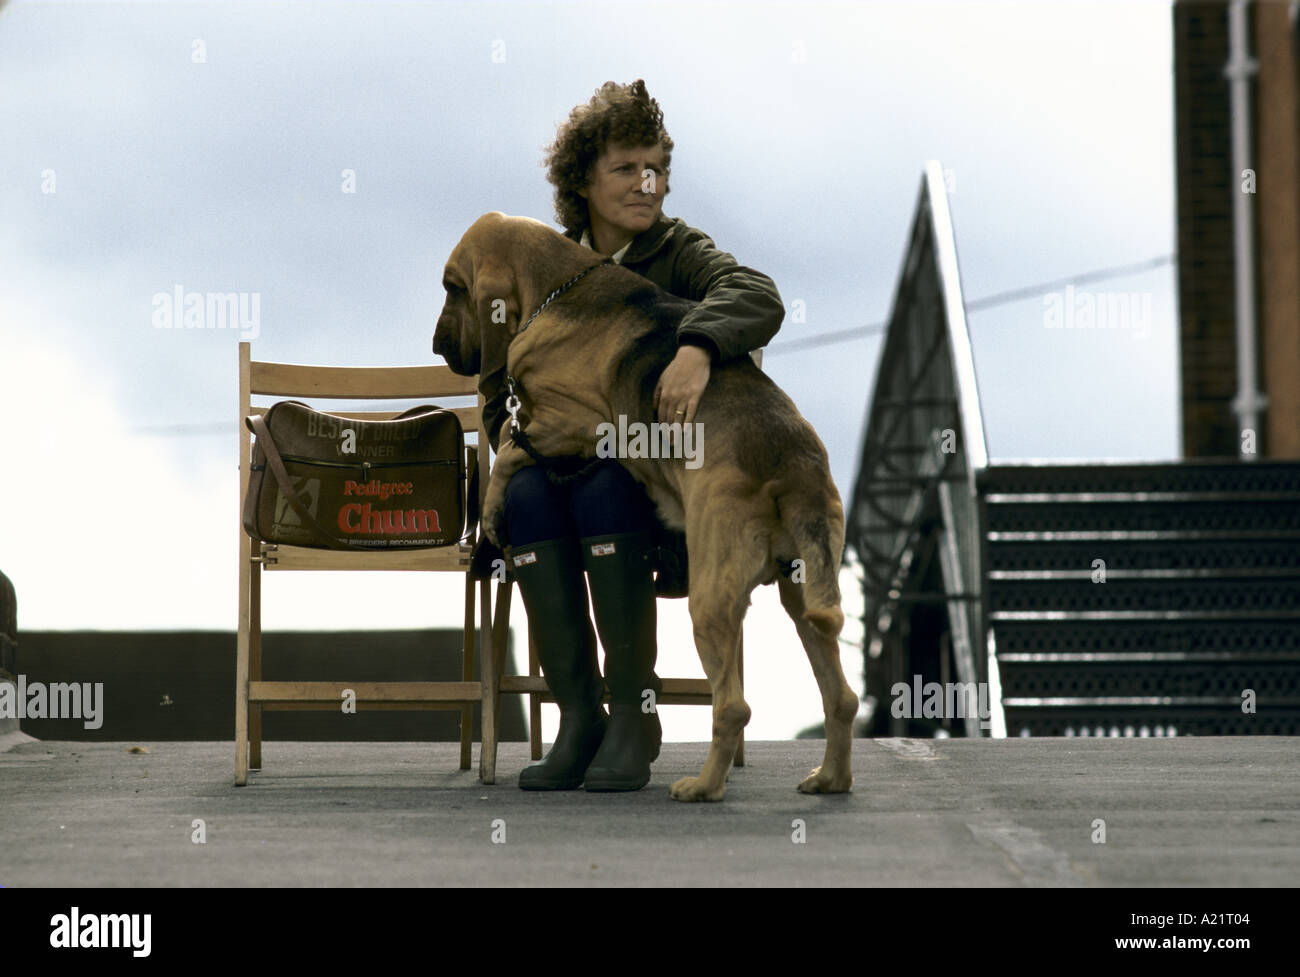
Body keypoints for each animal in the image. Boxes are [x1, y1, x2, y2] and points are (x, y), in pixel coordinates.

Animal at [436, 213, 857, 800]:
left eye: (453, 287)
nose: (437, 348)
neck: (558, 289)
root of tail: (789, 462)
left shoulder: (570, 424)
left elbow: (509, 454)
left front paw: (495, 506)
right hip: (804, 596)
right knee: (841, 697)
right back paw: (830, 779)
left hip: (710, 600)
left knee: (733, 707)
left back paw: (702, 787)